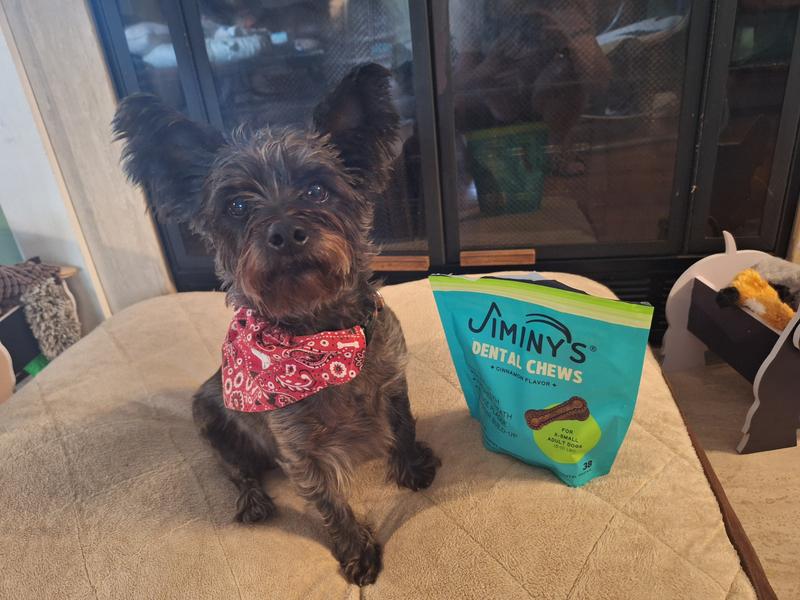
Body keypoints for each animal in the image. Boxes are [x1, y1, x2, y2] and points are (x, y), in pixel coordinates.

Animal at [113, 63, 440, 586]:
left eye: (317, 189)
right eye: (237, 206)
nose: (285, 232)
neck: (320, 334)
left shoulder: (393, 382)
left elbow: (404, 426)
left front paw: (411, 468)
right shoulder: (298, 450)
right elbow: (329, 501)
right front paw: (356, 550)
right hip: (209, 419)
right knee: (236, 472)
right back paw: (252, 500)